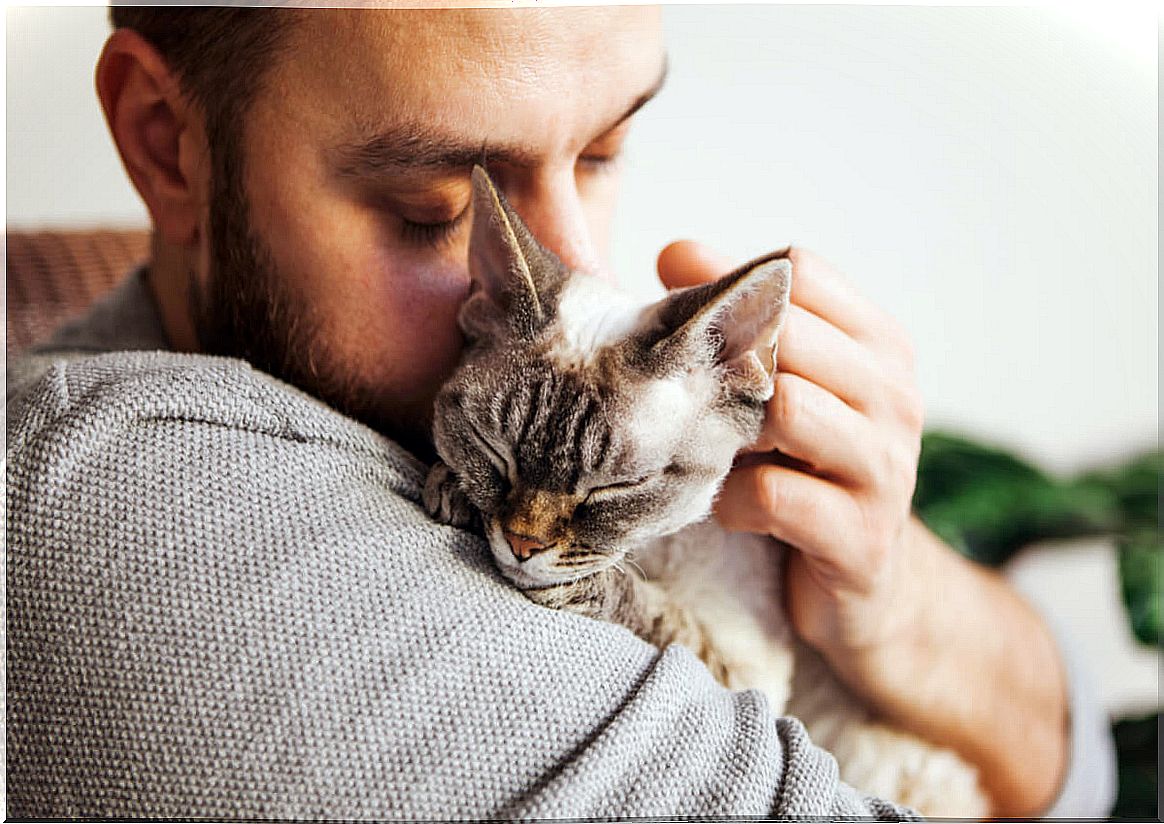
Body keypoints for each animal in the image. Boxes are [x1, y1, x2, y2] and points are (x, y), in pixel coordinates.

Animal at [428, 162, 991, 819]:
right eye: (493, 450)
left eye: (618, 486)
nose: (522, 545)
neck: (652, 547)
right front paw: (452, 488)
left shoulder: (749, 674)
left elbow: (657, 613)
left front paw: (585, 584)